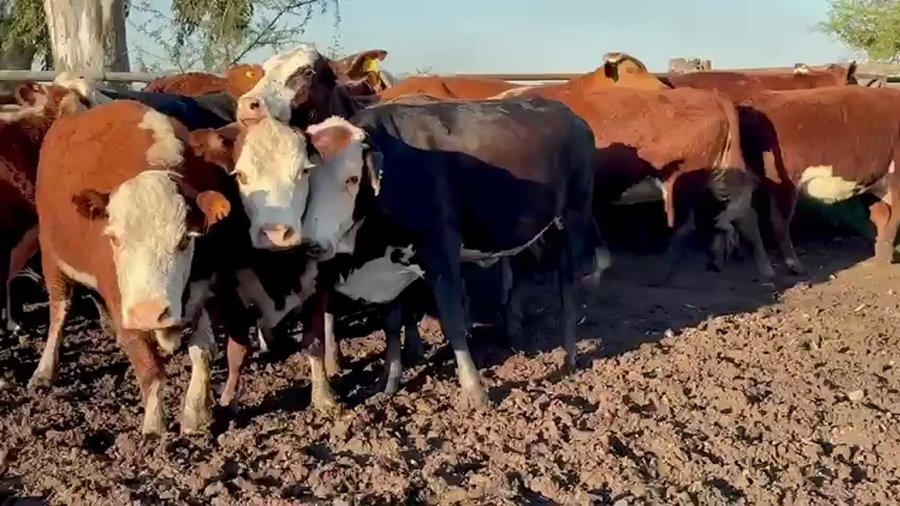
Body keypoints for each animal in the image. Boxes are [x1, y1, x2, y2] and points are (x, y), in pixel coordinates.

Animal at [29, 100, 234, 435]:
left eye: (184, 241)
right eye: (114, 238)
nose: (148, 313)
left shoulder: (204, 290)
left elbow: (202, 352)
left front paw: (194, 417)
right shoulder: (120, 300)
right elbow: (149, 368)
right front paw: (154, 430)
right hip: (51, 257)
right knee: (60, 311)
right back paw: (45, 370)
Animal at [295, 97, 606, 407]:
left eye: (350, 179)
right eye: (304, 181)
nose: (312, 243)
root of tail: (568, 113)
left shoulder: (441, 252)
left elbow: (453, 321)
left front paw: (475, 390)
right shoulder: (390, 266)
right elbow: (391, 324)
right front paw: (389, 382)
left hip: (571, 218)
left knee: (567, 285)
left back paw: (569, 356)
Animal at [501, 84, 775, 281]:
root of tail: (714, 96)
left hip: (684, 182)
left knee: (685, 226)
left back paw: (660, 274)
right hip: (720, 173)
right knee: (746, 214)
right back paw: (763, 268)